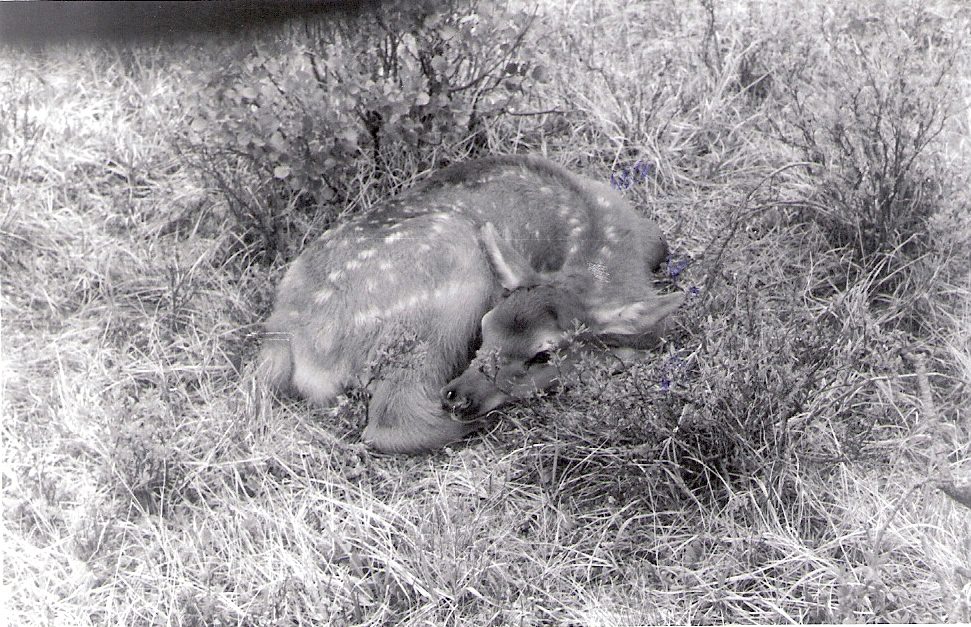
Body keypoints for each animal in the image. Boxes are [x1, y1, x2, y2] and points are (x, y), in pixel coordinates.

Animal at [260, 155, 684, 454]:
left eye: (544, 354)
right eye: (485, 326)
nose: (457, 395)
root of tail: (284, 332)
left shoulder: (651, 236)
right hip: (455, 263)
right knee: (393, 420)